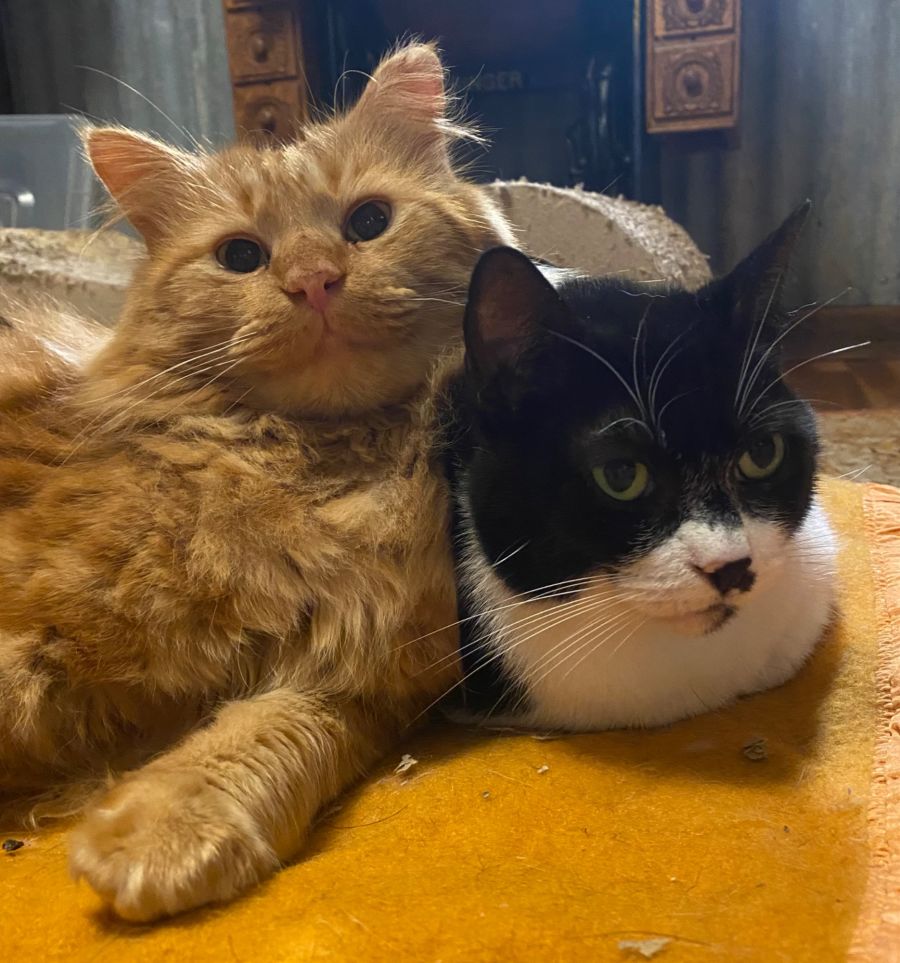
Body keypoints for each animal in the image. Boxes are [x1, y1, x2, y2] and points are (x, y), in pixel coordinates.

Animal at [0, 42, 513, 920]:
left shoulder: (352, 674)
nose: (314, 279)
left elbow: (258, 737)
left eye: (367, 222)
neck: (323, 474)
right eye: (240, 256)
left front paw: (168, 830)